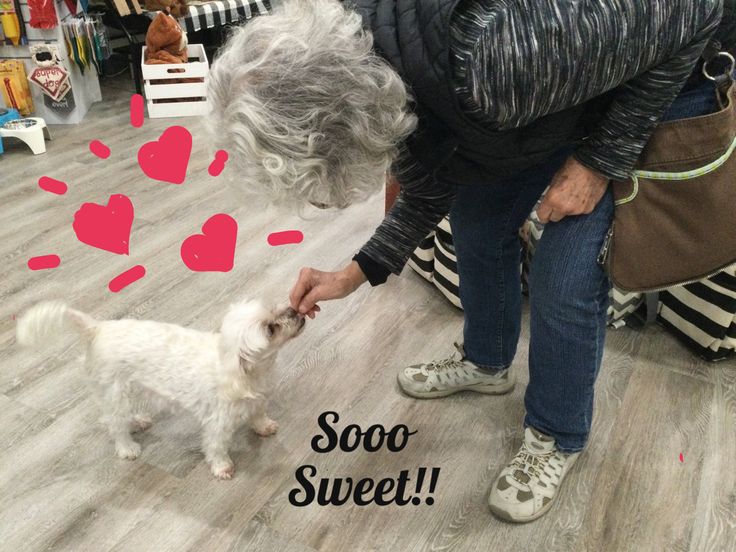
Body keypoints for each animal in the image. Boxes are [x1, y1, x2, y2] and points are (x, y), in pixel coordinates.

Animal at [16, 300, 304, 476]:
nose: (295, 311)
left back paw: (138, 421)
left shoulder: (258, 399)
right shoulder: (218, 421)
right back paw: (127, 448)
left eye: (273, 308)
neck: (247, 373)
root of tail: (96, 329)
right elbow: (216, 446)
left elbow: (258, 414)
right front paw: (222, 467)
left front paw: (264, 426)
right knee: (114, 423)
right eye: (270, 328)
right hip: (115, 390)